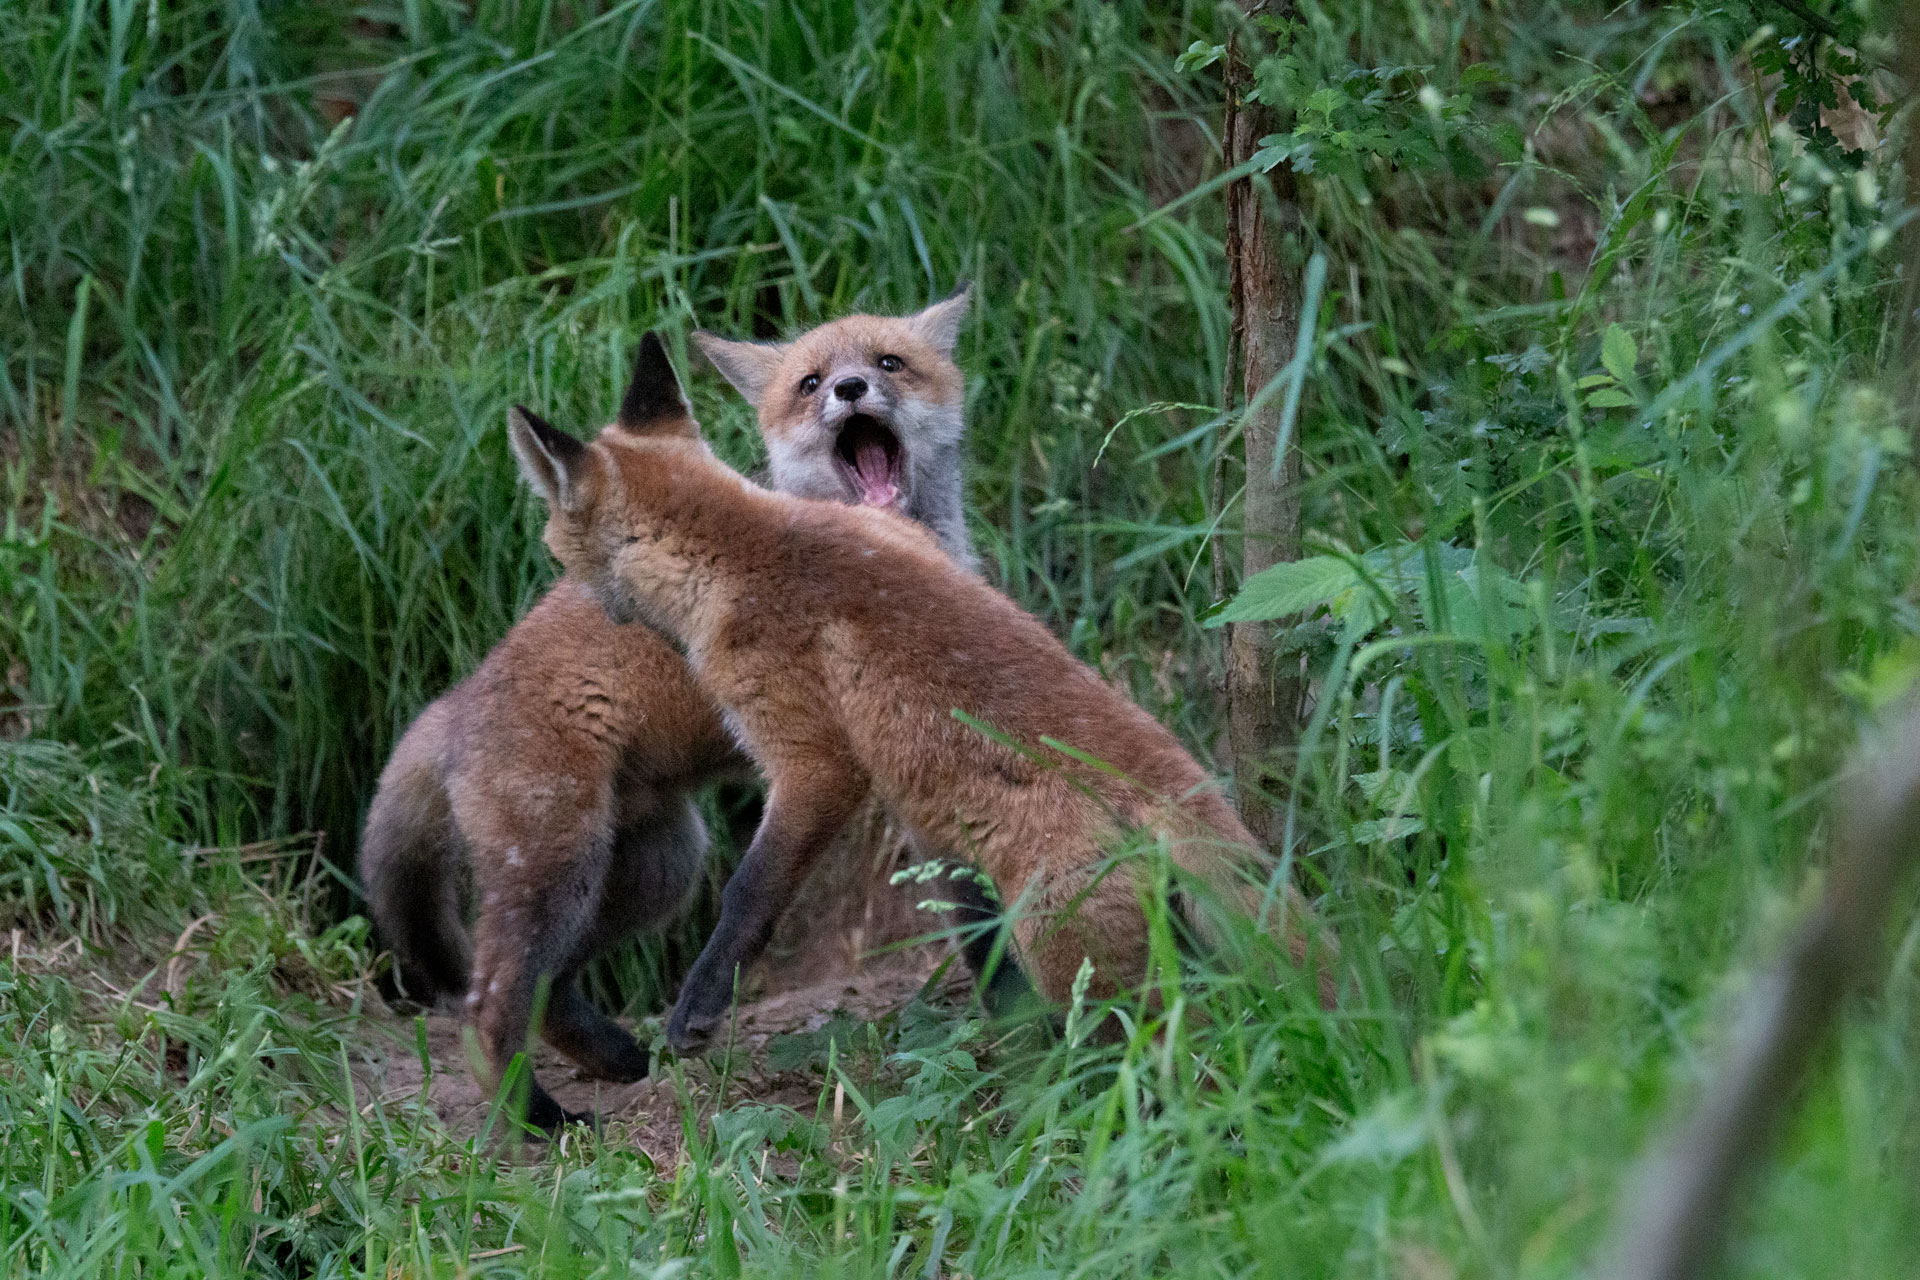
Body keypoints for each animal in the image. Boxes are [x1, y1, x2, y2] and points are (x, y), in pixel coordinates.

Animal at [360, 292, 1001, 1131]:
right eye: (811, 382)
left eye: (890, 363)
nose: (852, 389)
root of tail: (454, 703)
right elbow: (764, 889)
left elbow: (973, 891)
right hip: (560, 867)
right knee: (486, 1001)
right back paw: (538, 1120)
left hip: (658, 867)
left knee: (549, 989)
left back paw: (612, 1062)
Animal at [506, 345, 1339, 1055]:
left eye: (551, 538)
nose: (552, 592)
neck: (739, 545)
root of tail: (1171, 786)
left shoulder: (812, 758)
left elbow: (747, 894)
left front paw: (700, 1005)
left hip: (1070, 953)